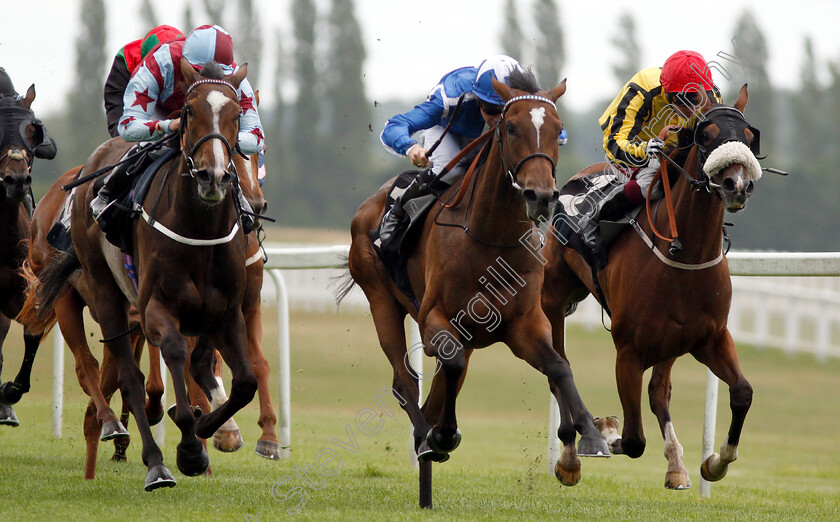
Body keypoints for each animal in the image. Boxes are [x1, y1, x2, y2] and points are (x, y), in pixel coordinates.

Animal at [340, 67, 612, 498]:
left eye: (558, 129)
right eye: (511, 127)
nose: (541, 195)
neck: (490, 237)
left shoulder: (525, 325)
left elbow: (559, 367)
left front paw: (589, 436)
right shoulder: (434, 319)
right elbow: (448, 361)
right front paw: (442, 435)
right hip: (380, 299)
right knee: (405, 381)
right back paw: (425, 438)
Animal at [540, 84, 764, 488]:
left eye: (748, 136)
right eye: (707, 135)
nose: (737, 185)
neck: (685, 254)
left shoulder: (710, 337)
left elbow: (742, 393)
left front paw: (715, 462)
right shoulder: (628, 352)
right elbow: (632, 439)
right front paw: (602, 430)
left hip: (670, 341)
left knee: (659, 392)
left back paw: (676, 464)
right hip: (553, 298)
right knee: (558, 367)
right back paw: (569, 455)